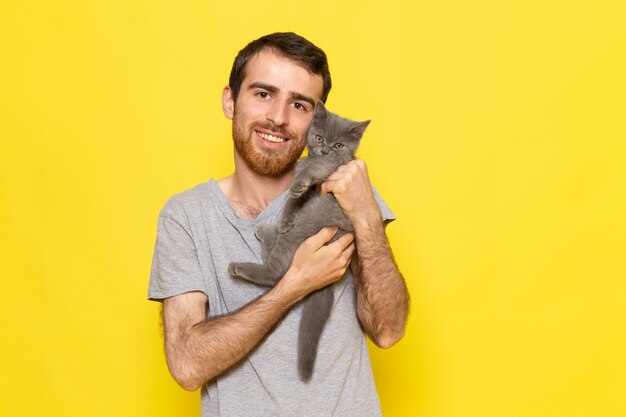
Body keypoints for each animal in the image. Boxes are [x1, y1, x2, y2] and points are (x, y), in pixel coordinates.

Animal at [227, 101, 368, 380]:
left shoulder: (336, 164)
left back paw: (249, 254)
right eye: (319, 137)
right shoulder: (311, 189)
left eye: (338, 145)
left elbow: (314, 168)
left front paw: (300, 181)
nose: (325, 149)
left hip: (310, 222)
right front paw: (286, 215)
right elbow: (294, 199)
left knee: (277, 272)